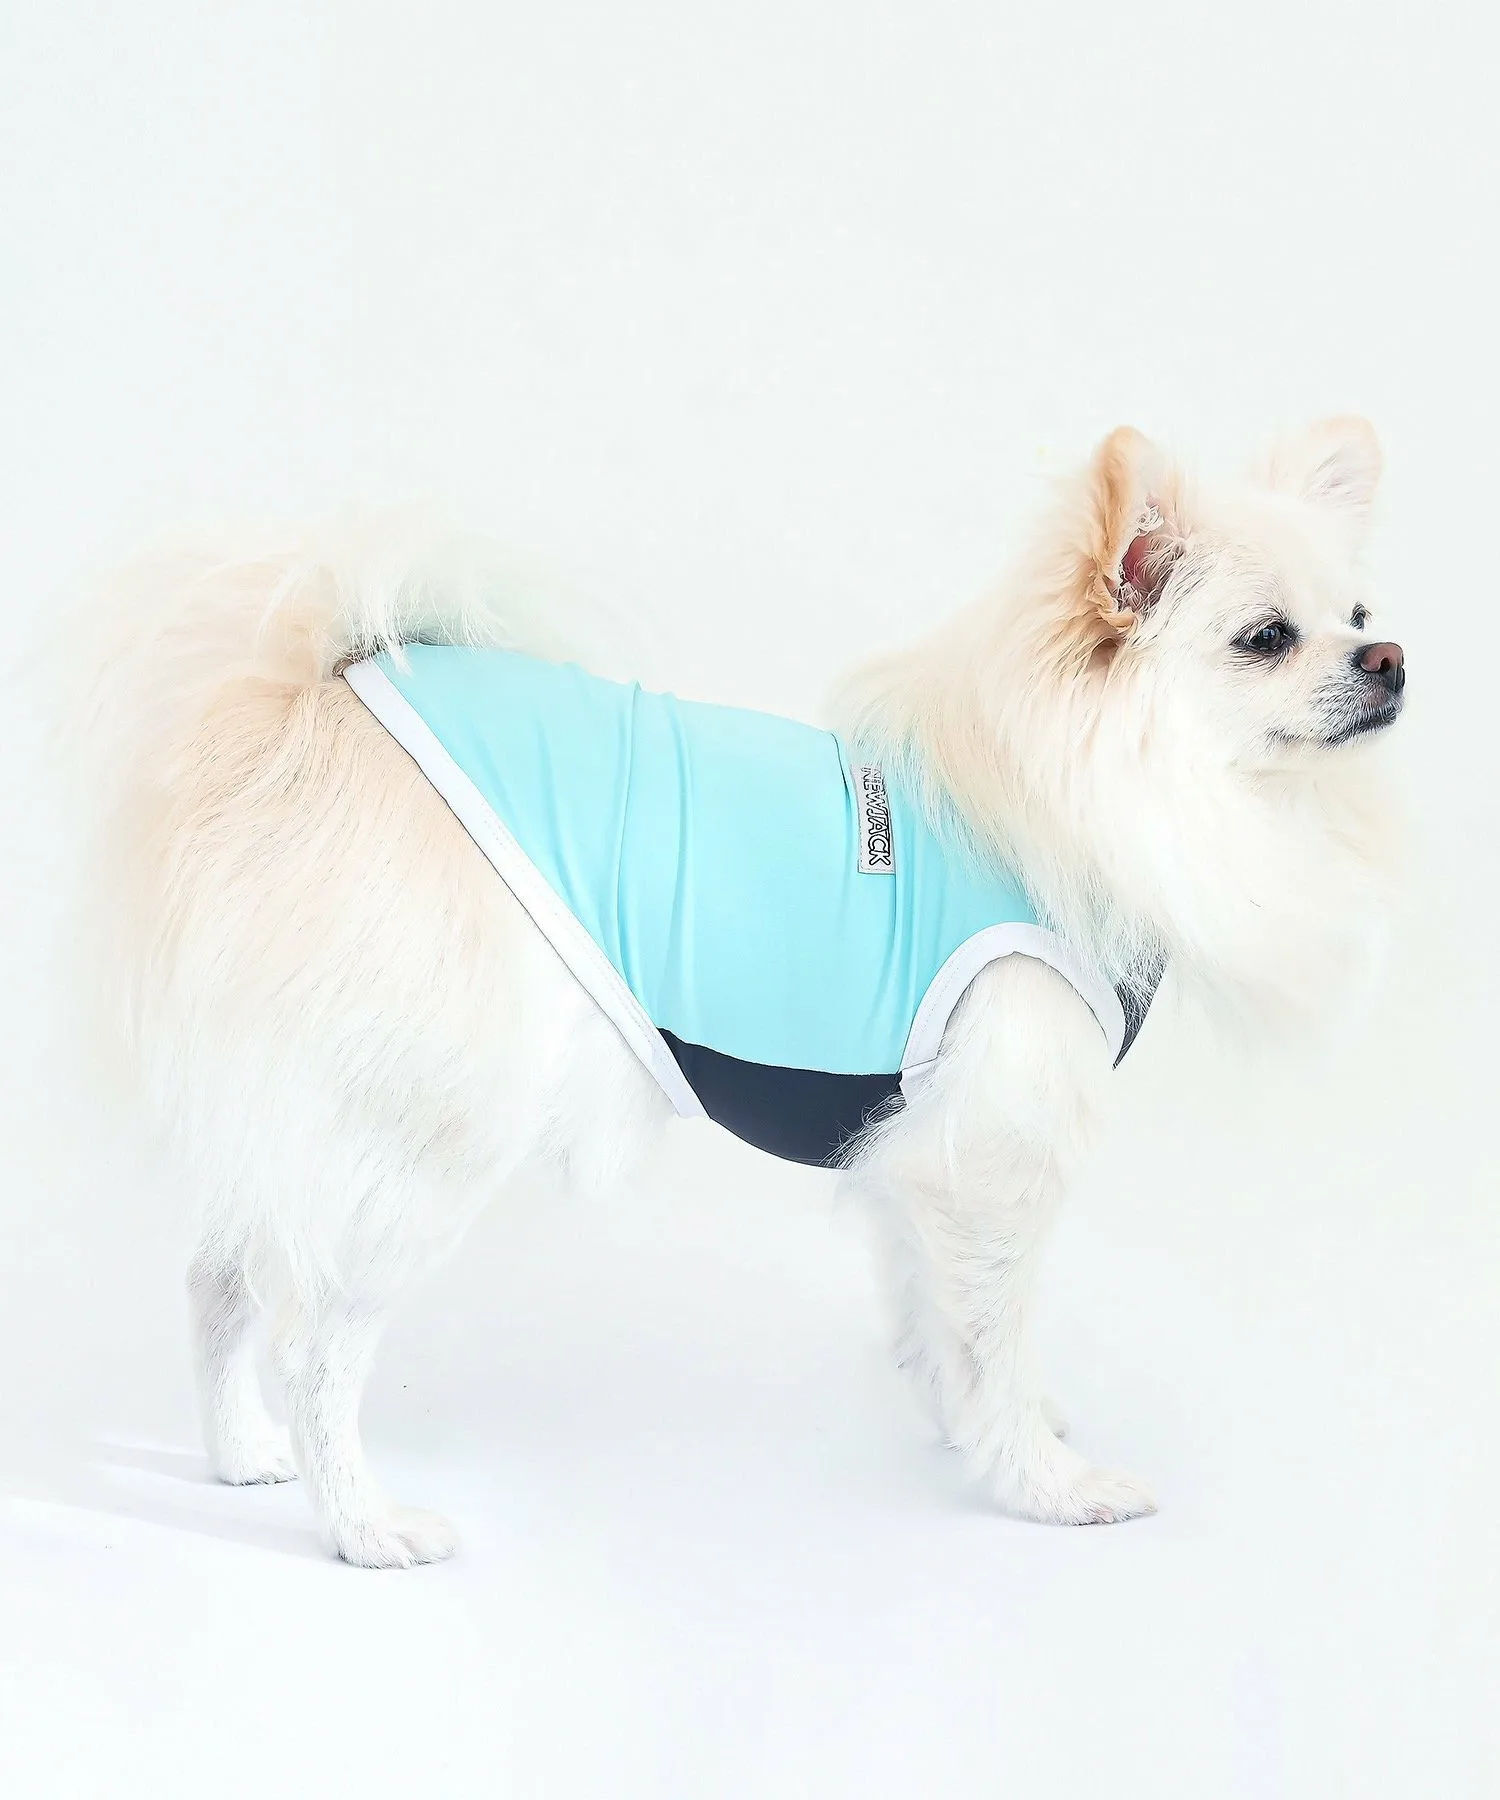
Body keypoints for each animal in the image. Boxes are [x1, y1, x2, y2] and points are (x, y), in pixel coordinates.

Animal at [76, 419, 1404, 1565]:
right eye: (1267, 638)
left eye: (1360, 615)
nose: (1392, 659)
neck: (1070, 797)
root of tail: (309, 707)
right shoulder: (992, 1159)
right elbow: (993, 1323)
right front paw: (1041, 1479)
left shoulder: (915, 1137)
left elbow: (934, 1316)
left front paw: (970, 1424)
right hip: (418, 1141)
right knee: (312, 1342)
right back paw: (361, 1526)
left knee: (218, 1280)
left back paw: (241, 1454)